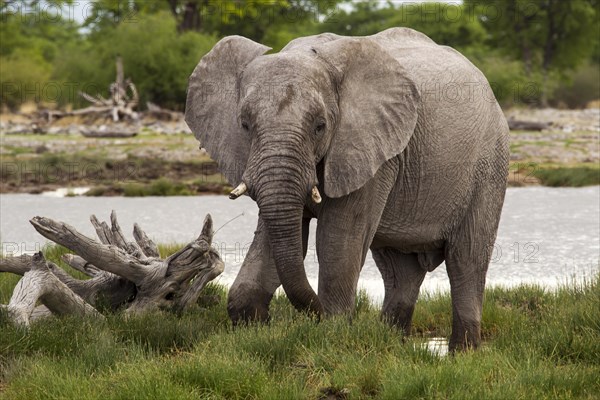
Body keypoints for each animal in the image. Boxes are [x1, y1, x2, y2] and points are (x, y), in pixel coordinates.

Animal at [185, 27, 508, 350]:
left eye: (320, 126)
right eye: (244, 125)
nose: (312, 316)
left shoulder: (372, 151)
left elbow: (336, 239)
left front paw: (331, 330)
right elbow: (278, 234)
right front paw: (252, 326)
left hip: (489, 164)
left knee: (466, 259)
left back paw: (462, 353)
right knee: (399, 270)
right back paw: (390, 343)